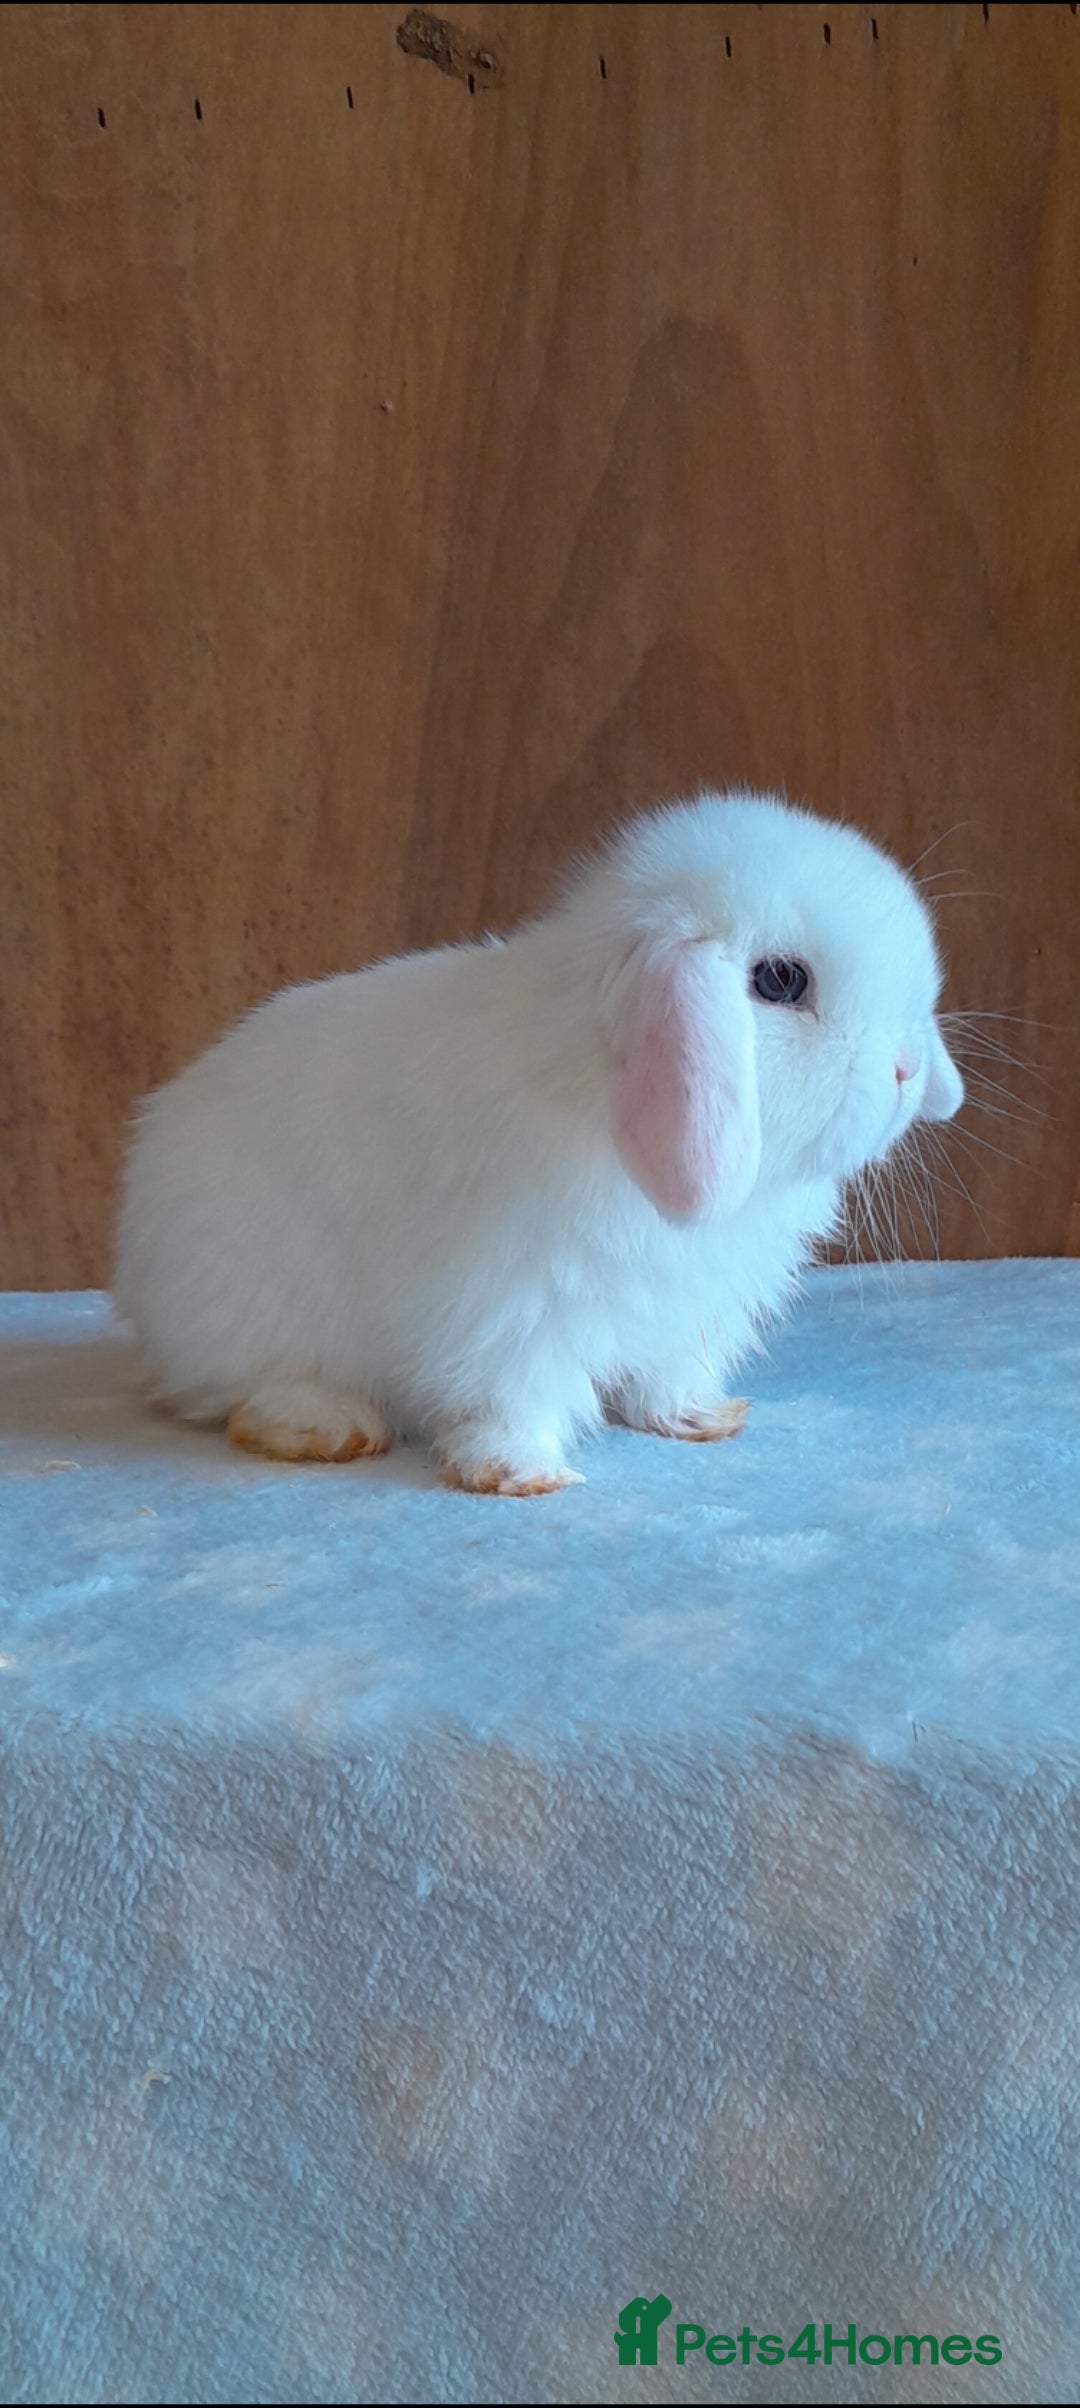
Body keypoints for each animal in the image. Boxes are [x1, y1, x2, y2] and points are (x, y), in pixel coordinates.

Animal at [114, 789, 964, 1494]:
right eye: (781, 981)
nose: (907, 1069)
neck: (589, 1074)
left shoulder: (685, 1316)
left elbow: (665, 1378)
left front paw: (701, 1421)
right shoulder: (511, 1311)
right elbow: (509, 1398)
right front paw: (523, 1476)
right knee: (241, 1394)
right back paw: (328, 1426)